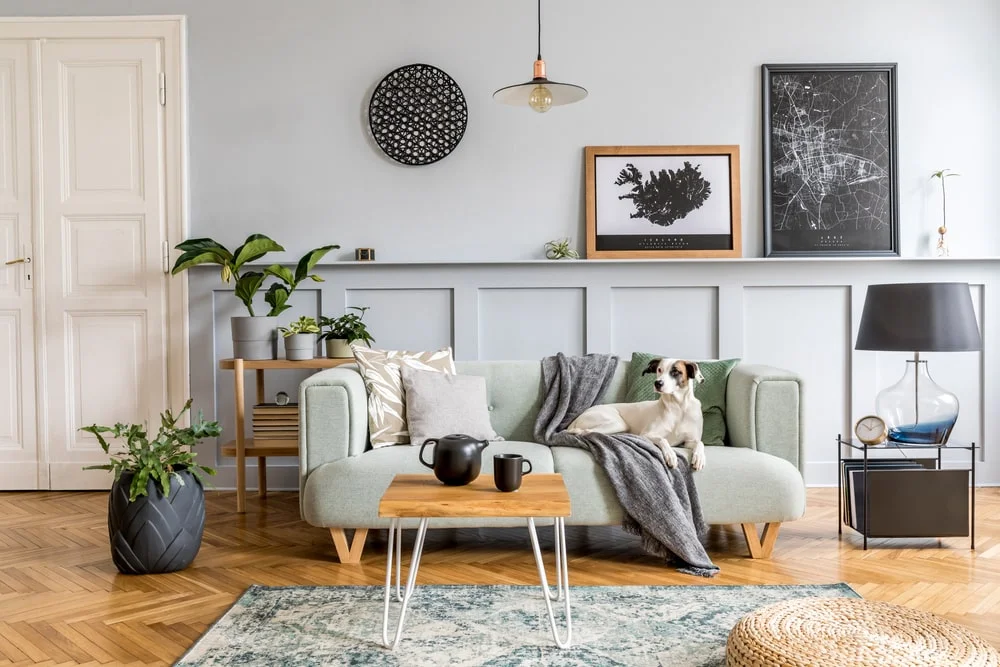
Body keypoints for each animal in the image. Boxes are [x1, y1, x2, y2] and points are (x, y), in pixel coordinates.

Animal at [568, 360, 708, 470]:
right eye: (659, 369)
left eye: (675, 372)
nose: (658, 383)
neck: (677, 407)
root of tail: (581, 415)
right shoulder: (646, 435)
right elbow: (663, 439)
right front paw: (671, 455)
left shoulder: (687, 441)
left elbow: (700, 442)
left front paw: (699, 458)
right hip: (617, 423)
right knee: (586, 432)